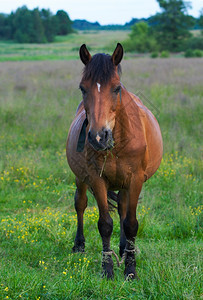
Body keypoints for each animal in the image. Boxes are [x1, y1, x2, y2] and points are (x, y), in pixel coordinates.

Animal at [66, 43, 163, 280]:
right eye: (82, 88)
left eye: (117, 88)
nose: (98, 137)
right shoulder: (96, 179)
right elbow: (105, 224)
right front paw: (107, 269)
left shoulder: (135, 180)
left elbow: (131, 224)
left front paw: (130, 269)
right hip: (81, 179)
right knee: (80, 204)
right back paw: (79, 245)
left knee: (122, 209)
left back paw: (123, 248)